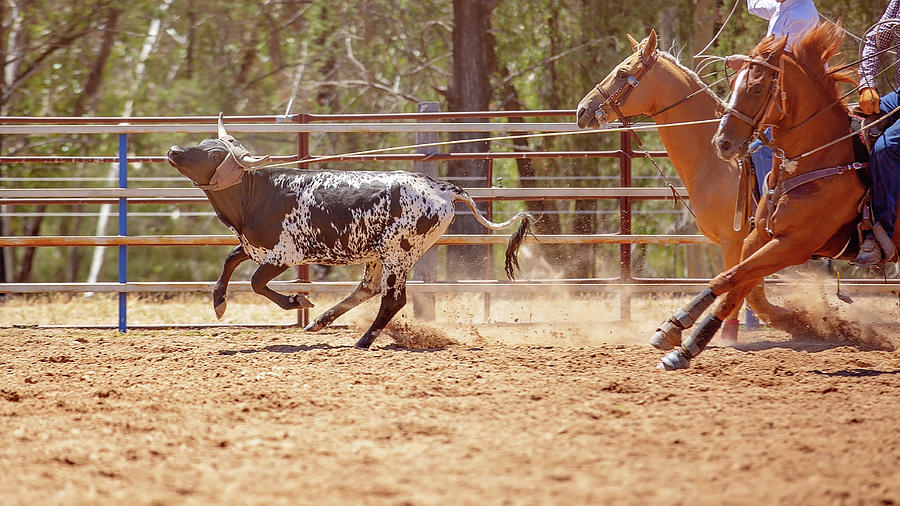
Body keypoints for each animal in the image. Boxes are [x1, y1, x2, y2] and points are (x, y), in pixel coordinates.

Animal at [580, 30, 784, 344]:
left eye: (623, 72)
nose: (582, 110)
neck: (717, 161)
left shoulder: (734, 240)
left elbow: (736, 284)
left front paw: (726, 333)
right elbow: (748, 288)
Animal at [652, 21, 864, 370]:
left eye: (755, 88)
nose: (723, 143)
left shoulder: (784, 244)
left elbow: (734, 281)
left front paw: (691, 343)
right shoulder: (758, 236)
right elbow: (736, 283)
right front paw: (675, 328)